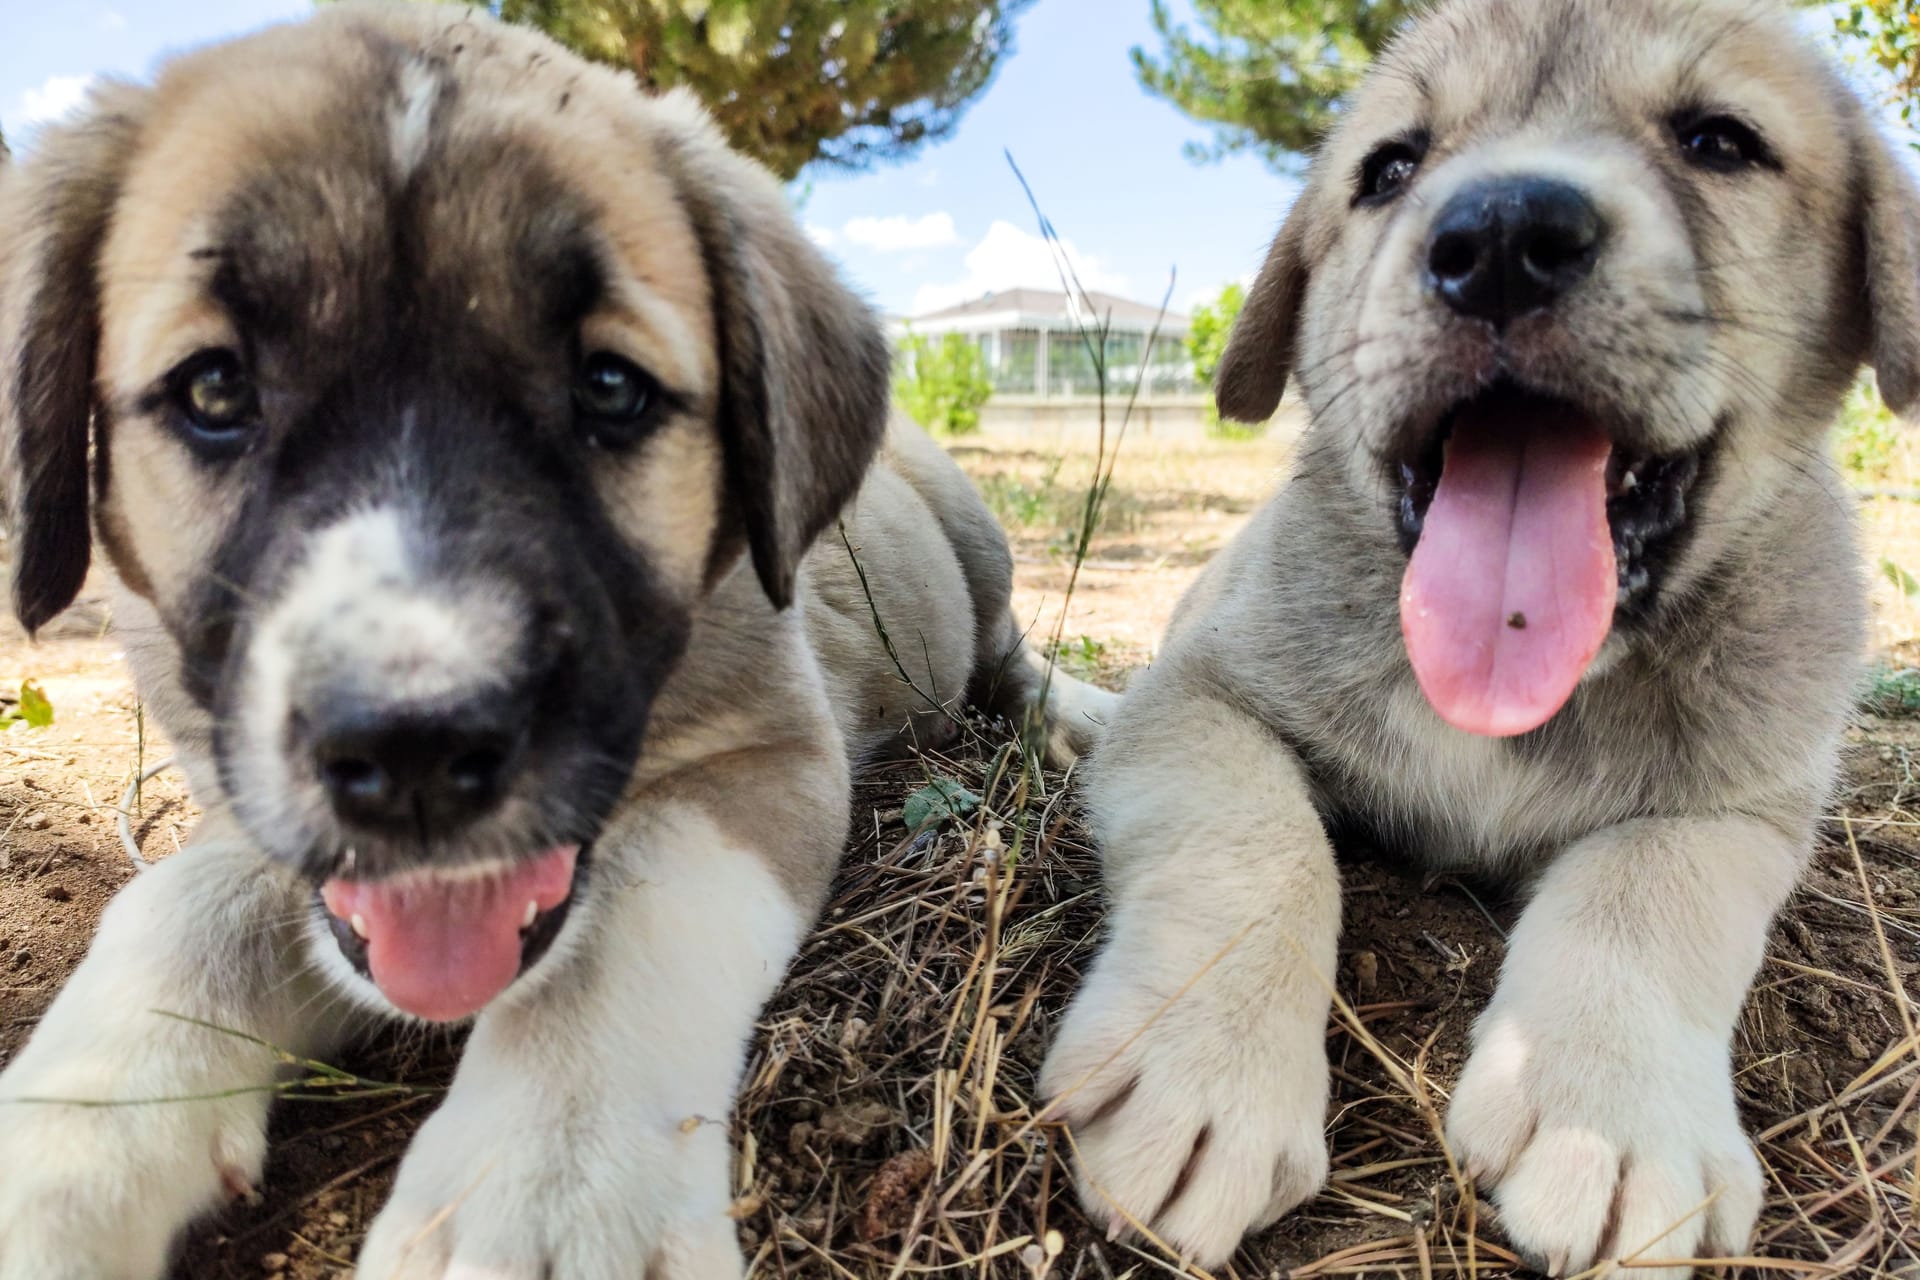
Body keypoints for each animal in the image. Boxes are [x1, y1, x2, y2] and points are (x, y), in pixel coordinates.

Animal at [0, 5, 1113, 1274]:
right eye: (216, 388)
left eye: (612, 388)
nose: (419, 751)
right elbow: (183, 908)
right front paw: (64, 1147)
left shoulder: (767, 754)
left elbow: (620, 919)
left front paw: (548, 1186)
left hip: (973, 535)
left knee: (1008, 653)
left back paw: (1079, 716)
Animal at [1044, 2, 1912, 1274]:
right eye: (1391, 168)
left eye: (1720, 140)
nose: (1501, 234)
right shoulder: (1201, 696)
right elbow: (1253, 838)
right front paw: (1204, 1064)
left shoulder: (1742, 808)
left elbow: (1645, 888)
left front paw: (1610, 1115)